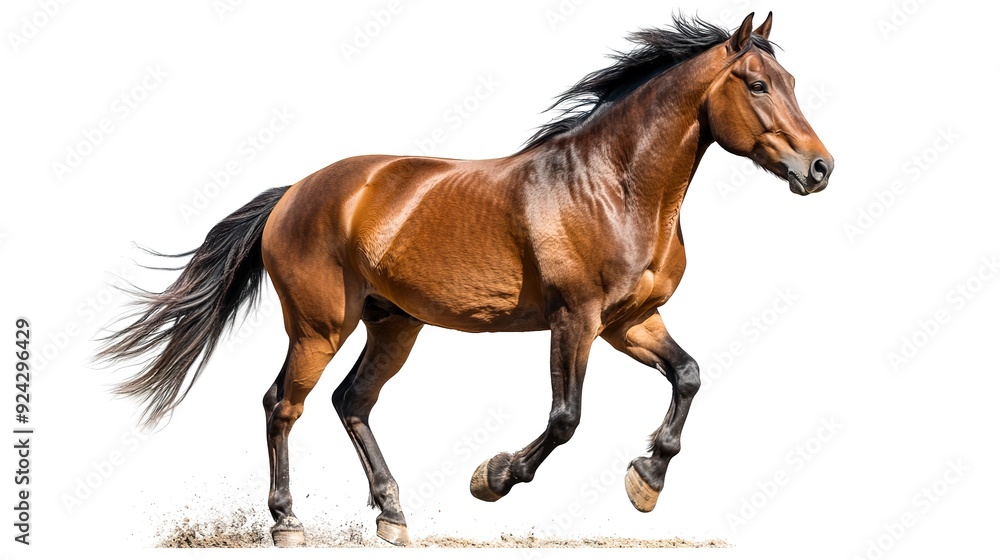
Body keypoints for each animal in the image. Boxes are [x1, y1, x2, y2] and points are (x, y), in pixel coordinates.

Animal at [97, 12, 833, 547]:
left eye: (793, 81)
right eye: (758, 84)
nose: (820, 167)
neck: (614, 186)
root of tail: (295, 192)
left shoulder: (629, 322)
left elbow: (688, 376)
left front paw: (646, 478)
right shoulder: (576, 319)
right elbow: (566, 417)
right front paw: (494, 477)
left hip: (393, 324)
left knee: (351, 402)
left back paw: (392, 516)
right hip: (318, 326)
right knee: (283, 404)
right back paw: (288, 523)